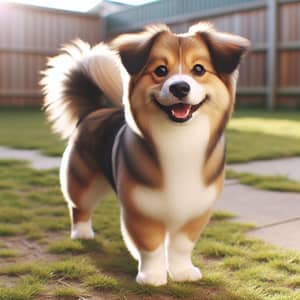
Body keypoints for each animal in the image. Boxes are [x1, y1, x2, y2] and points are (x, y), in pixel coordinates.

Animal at [41, 22, 250, 286]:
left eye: (199, 69)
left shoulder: (196, 208)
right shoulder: (140, 209)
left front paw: (182, 272)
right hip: (82, 179)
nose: (179, 87)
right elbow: (150, 246)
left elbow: (181, 246)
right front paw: (152, 277)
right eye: (160, 70)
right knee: (79, 206)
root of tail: (93, 111)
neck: (179, 140)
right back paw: (82, 233)